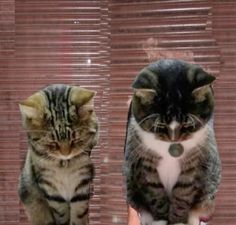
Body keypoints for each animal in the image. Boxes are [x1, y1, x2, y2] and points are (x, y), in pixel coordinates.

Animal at [18, 84, 98, 225]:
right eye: (52, 143)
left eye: (75, 140)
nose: (65, 153)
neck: (64, 164)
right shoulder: (51, 189)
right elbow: (61, 214)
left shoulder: (82, 183)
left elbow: (79, 215)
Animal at [124, 59, 222, 224]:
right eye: (160, 126)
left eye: (188, 125)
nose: (173, 139)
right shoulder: (143, 163)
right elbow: (155, 193)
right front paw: (161, 220)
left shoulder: (195, 164)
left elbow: (183, 194)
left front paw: (177, 221)